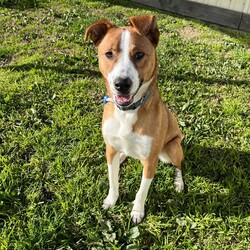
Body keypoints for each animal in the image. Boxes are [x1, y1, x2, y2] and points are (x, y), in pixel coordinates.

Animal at [84, 14, 184, 224]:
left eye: (139, 54)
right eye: (109, 54)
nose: (121, 84)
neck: (127, 112)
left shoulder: (150, 160)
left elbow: (142, 191)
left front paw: (137, 211)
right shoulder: (110, 149)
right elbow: (113, 180)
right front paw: (111, 200)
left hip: (171, 148)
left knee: (179, 165)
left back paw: (179, 183)